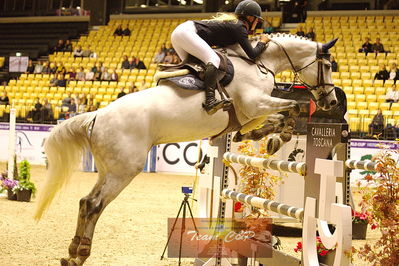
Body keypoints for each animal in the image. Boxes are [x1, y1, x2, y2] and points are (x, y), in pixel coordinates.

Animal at [34, 33, 340, 266]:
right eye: (327, 65)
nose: (332, 102)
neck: (259, 64)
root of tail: (96, 115)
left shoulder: (252, 113)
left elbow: (266, 122)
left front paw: (264, 136)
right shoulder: (256, 104)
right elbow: (294, 107)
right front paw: (281, 135)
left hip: (108, 169)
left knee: (85, 202)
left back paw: (71, 253)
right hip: (124, 170)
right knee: (95, 205)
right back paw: (80, 254)